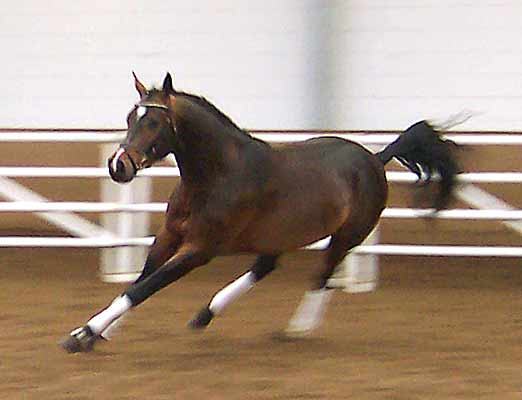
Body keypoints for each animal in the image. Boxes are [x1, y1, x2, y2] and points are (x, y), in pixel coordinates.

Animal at [61, 72, 458, 354]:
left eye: (154, 123)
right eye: (131, 117)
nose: (118, 166)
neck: (217, 174)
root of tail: (375, 159)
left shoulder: (200, 249)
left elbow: (145, 287)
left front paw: (82, 335)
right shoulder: (169, 236)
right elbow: (138, 281)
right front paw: (97, 332)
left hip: (348, 235)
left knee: (322, 275)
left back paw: (298, 329)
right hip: (282, 236)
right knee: (267, 266)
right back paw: (204, 316)